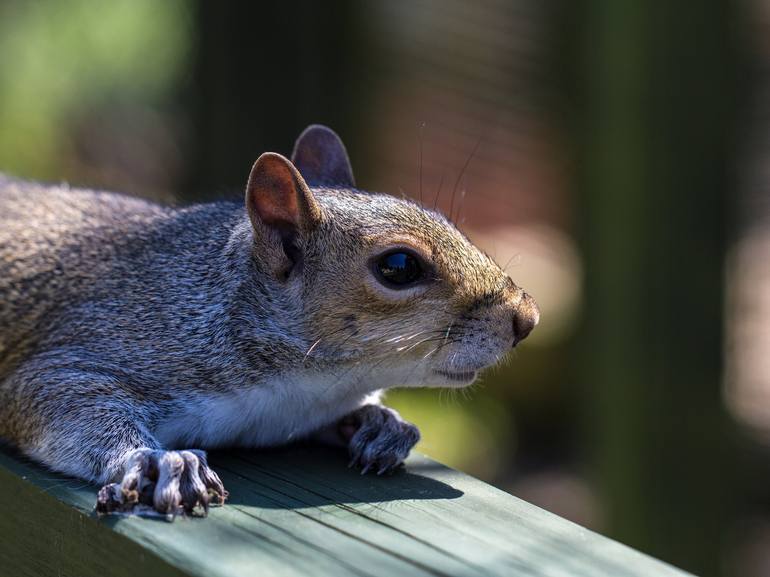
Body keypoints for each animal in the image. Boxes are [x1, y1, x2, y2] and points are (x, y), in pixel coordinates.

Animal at [0, 126, 536, 516]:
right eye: (399, 267)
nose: (527, 318)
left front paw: (380, 421)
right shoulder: (106, 338)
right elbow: (46, 396)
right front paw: (156, 461)